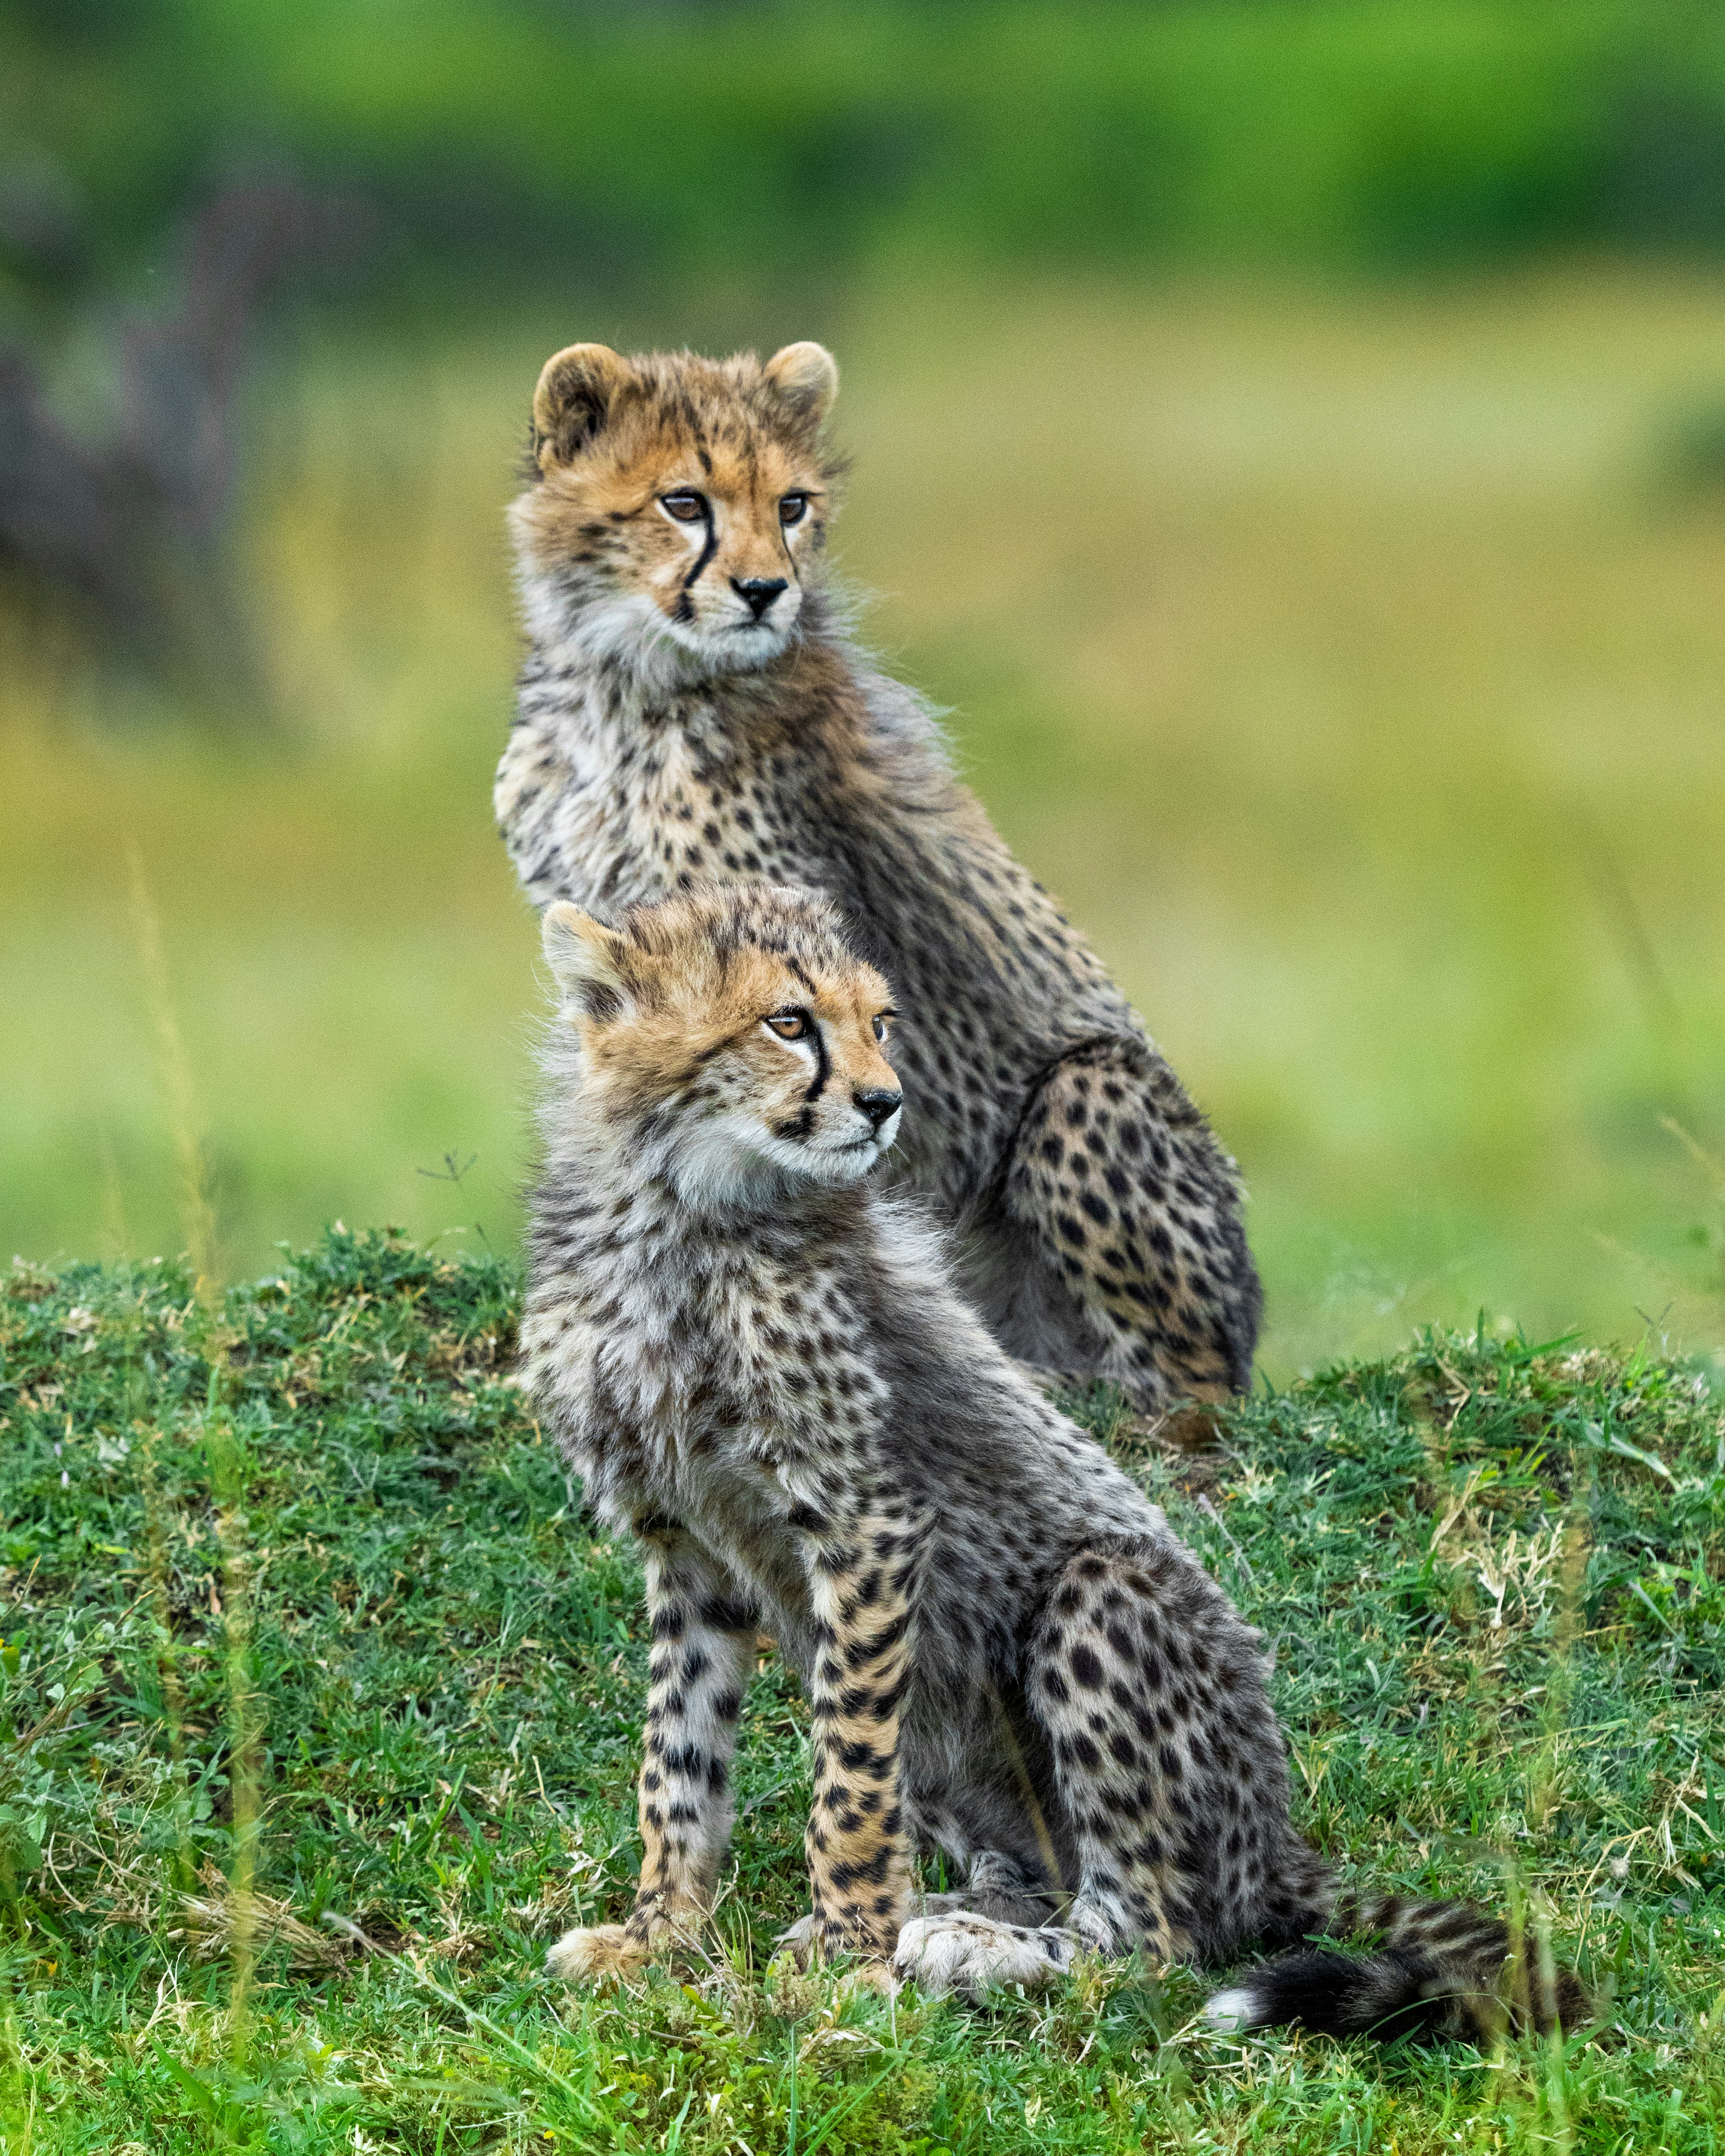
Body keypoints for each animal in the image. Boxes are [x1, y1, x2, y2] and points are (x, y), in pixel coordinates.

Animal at [496, 336, 1260, 1415]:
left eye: (792, 505)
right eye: (683, 502)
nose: (765, 590)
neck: (623, 686)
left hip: (1094, 1087)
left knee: (1183, 1384)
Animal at [522, 881, 1587, 2043]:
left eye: (880, 1021)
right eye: (788, 1021)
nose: (886, 1102)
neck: (680, 1216)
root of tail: (1275, 1838)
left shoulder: (869, 1522)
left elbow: (847, 1777)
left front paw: (850, 1954)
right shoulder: (689, 1545)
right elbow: (679, 1755)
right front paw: (659, 1933)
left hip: (1101, 1597)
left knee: (1154, 1940)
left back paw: (970, 1948)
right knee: (1034, 1868)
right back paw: (946, 1915)